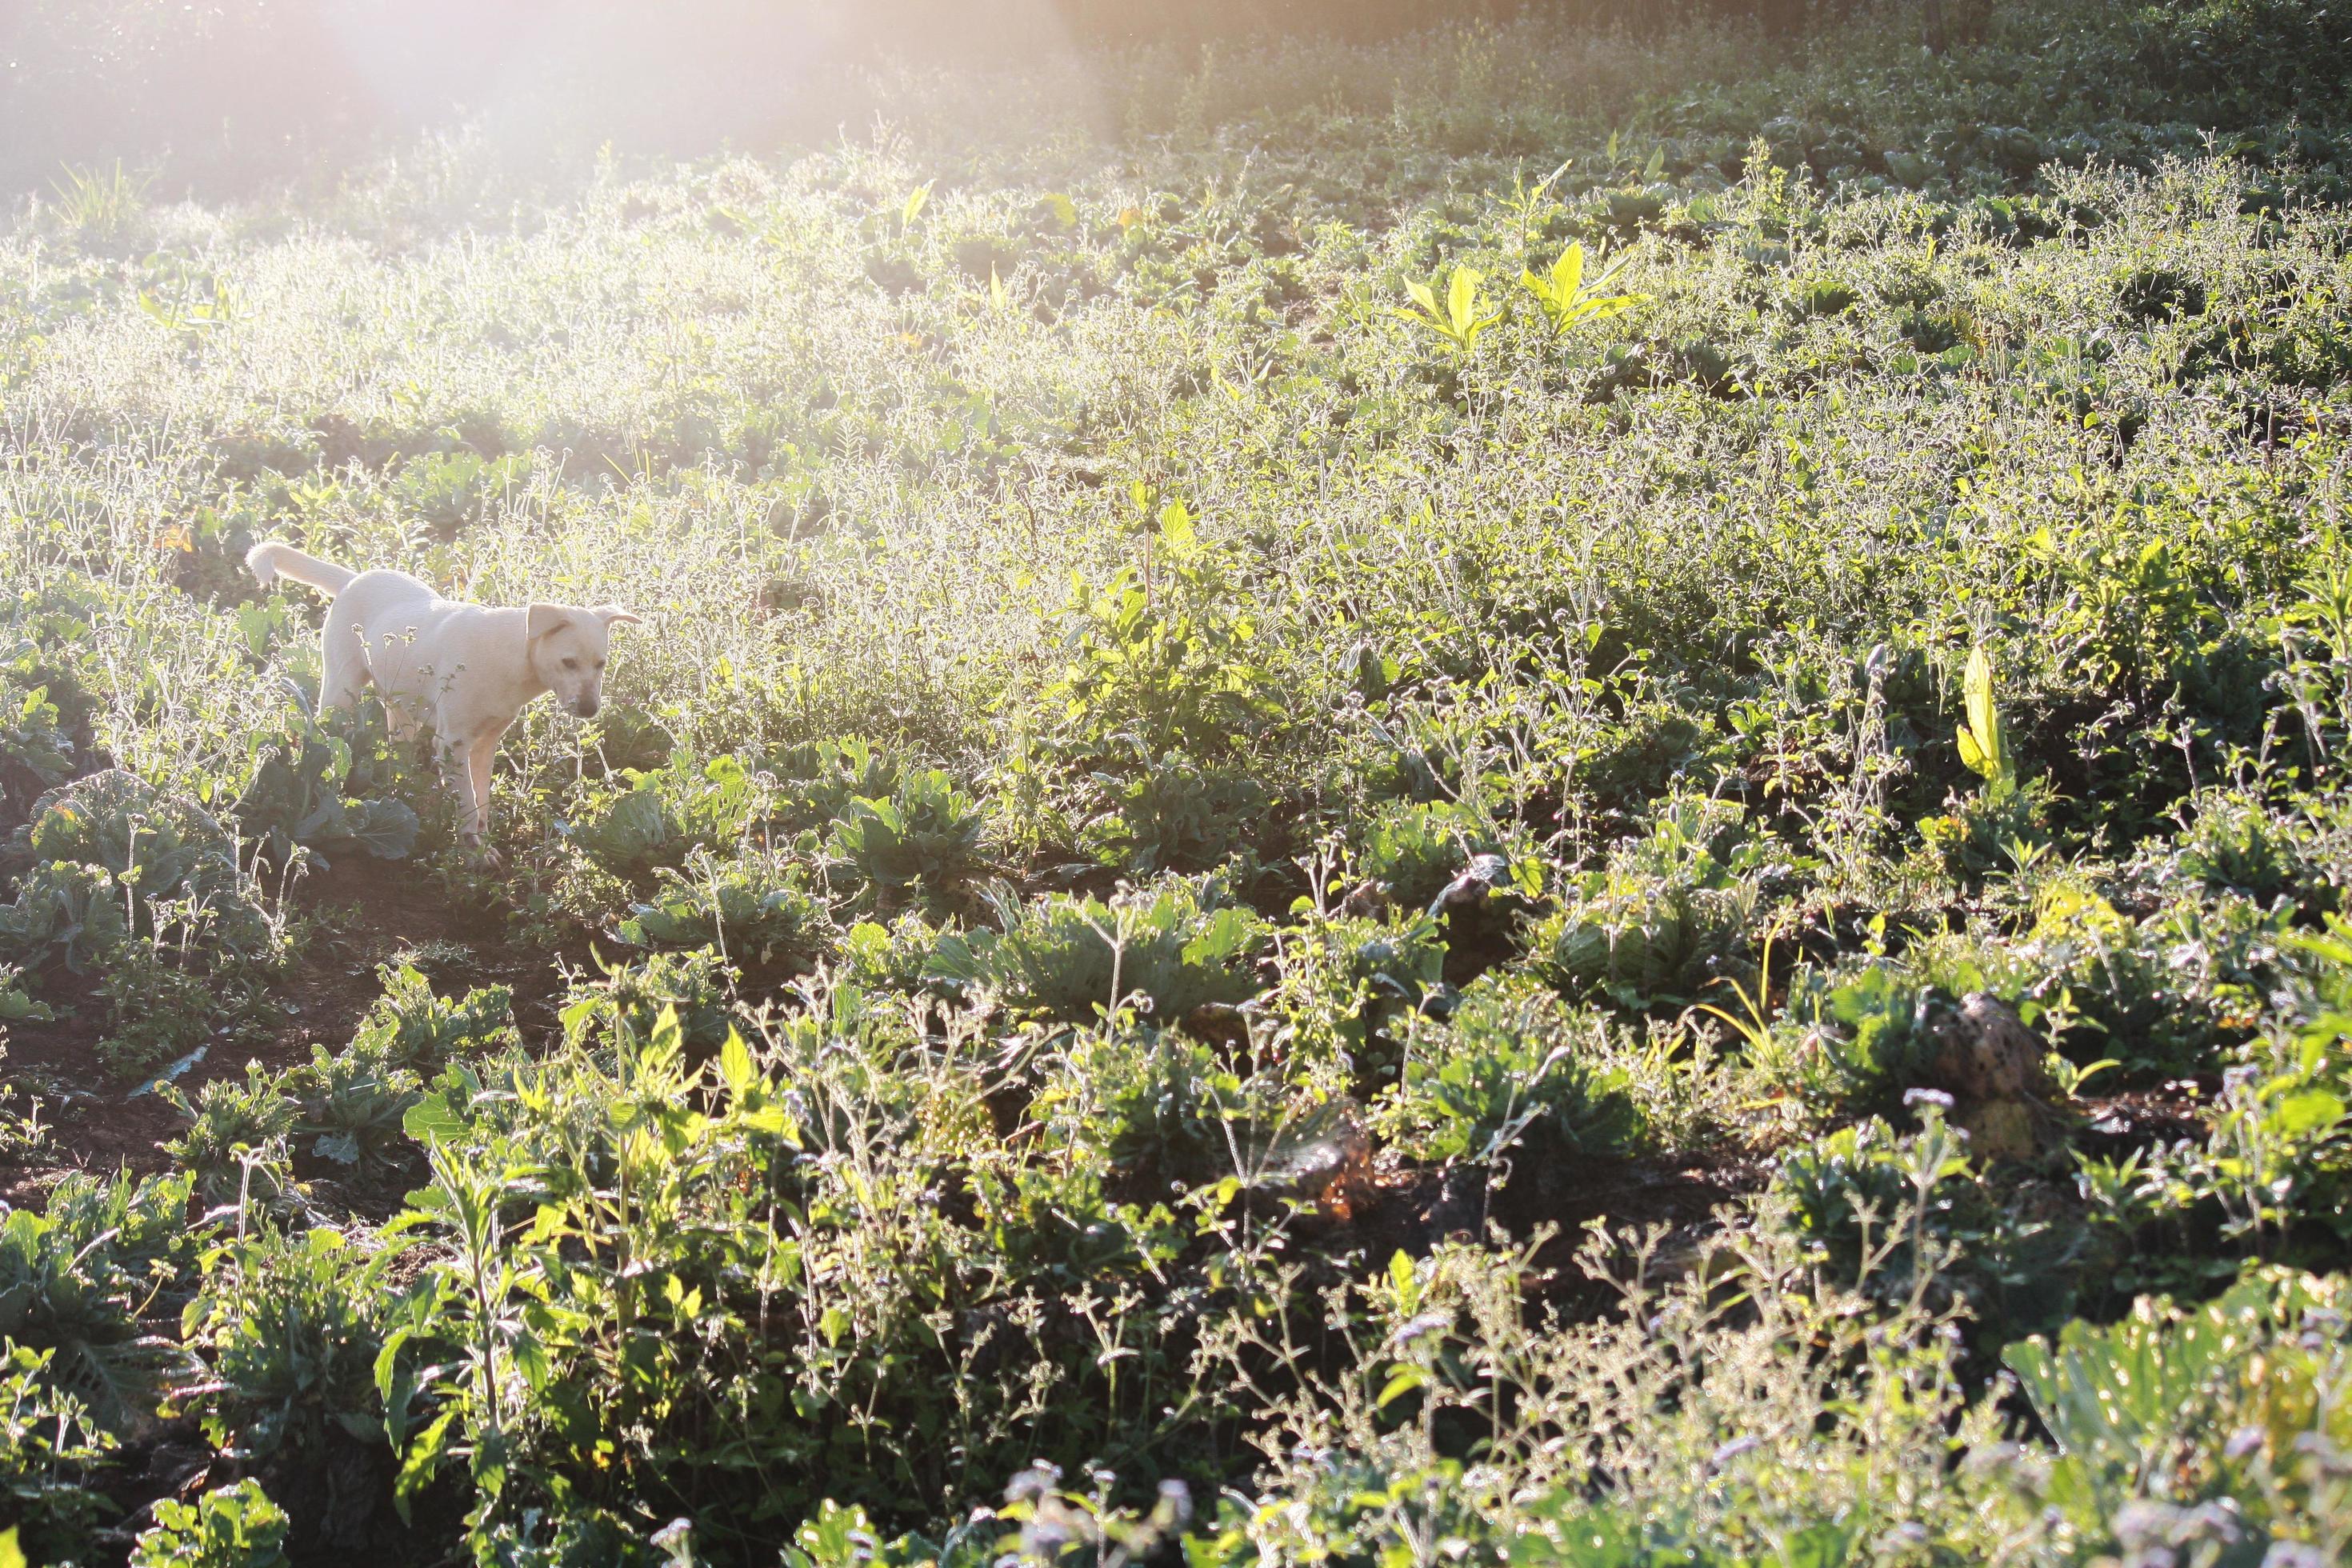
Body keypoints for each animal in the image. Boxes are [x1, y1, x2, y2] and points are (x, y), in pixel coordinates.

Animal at [246, 540, 644, 860]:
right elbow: (466, 801)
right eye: (568, 662)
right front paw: (475, 855)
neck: (512, 657)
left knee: (398, 753)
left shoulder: (484, 744)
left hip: (401, 710)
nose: (590, 710)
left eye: (601, 664)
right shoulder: (453, 744)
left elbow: (481, 800)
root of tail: (353, 579)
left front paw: (483, 842)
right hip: (340, 688)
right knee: (327, 728)